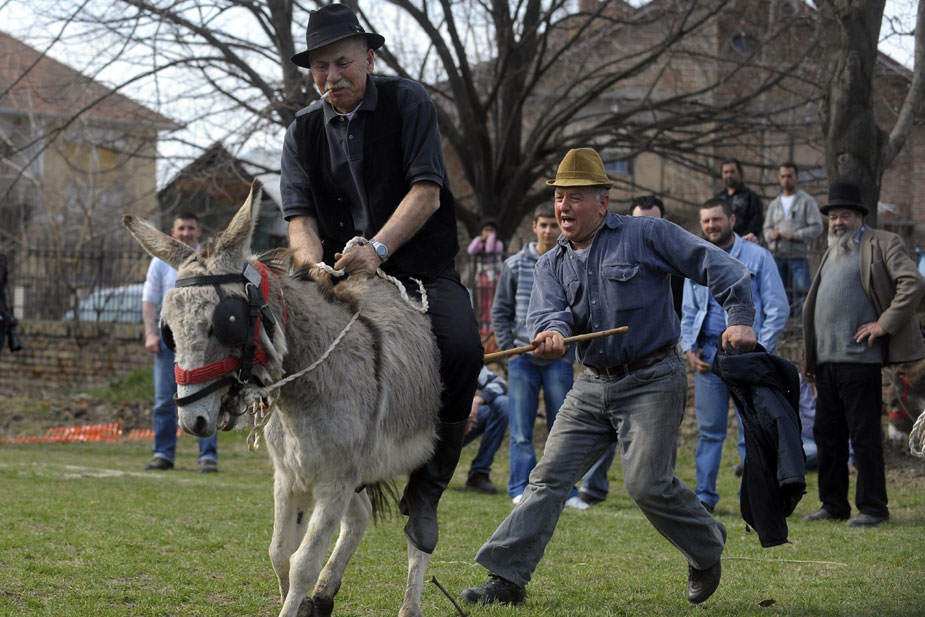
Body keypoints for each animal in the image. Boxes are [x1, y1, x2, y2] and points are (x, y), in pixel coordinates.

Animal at [123, 184, 442, 617]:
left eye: (227, 322)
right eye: (168, 331)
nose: (193, 421)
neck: (305, 392)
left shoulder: (334, 482)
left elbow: (303, 562)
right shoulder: (290, 476)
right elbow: (279, 555)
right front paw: (302, 599)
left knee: (419, 534)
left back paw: (409, 605)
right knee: (359, 518)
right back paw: (324, 595)